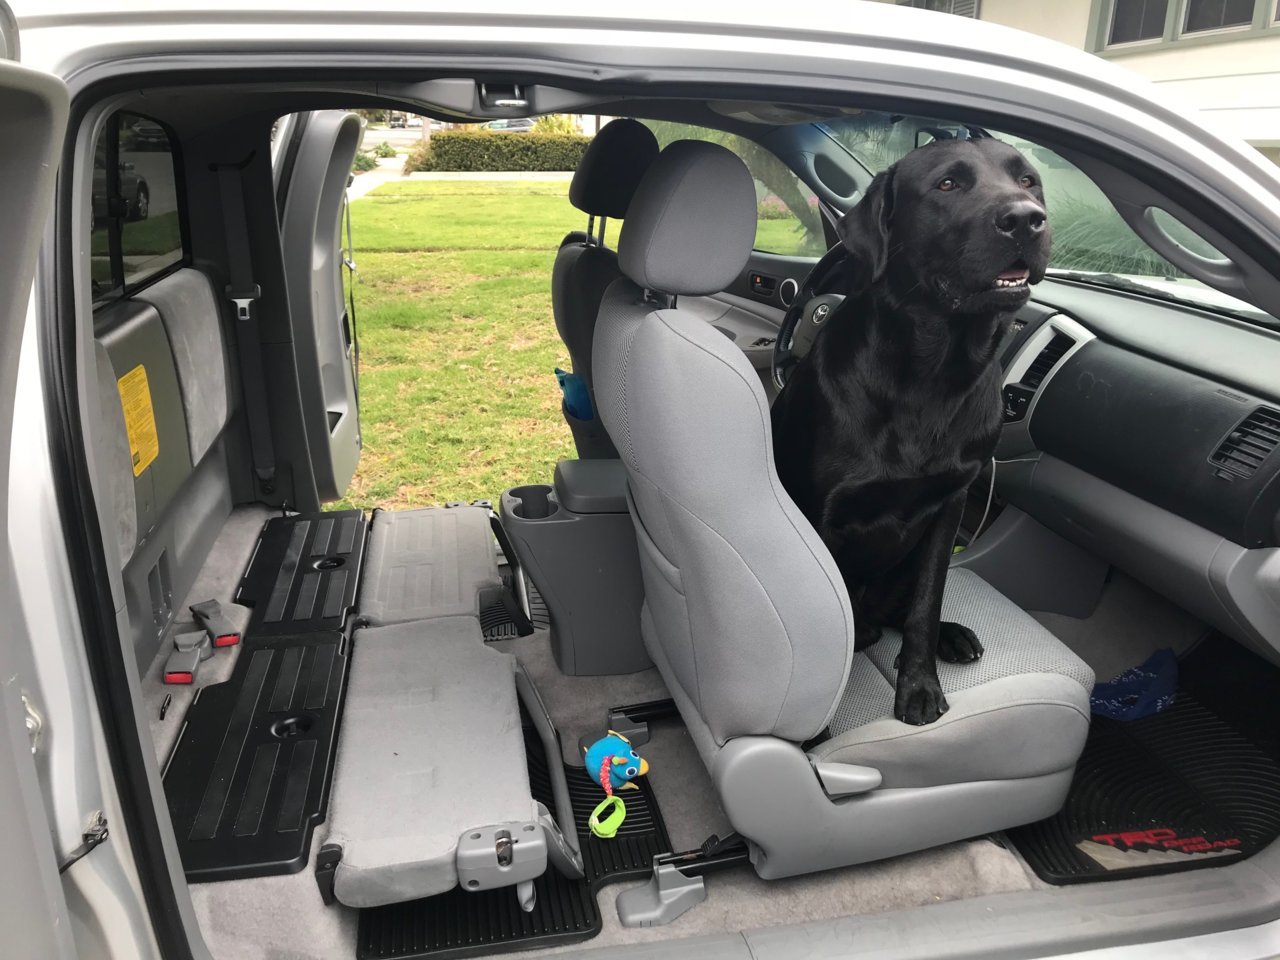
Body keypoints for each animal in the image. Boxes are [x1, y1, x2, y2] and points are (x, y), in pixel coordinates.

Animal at [768, 136, 1049, 727]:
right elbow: (828, 621)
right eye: (947, 184)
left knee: (905, 609)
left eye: (1028, 181)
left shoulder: (947, 508)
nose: (1025, 219)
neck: (932, 374)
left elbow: (926, 602)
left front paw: (919, 685)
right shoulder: (819, 512)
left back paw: (952, 636)